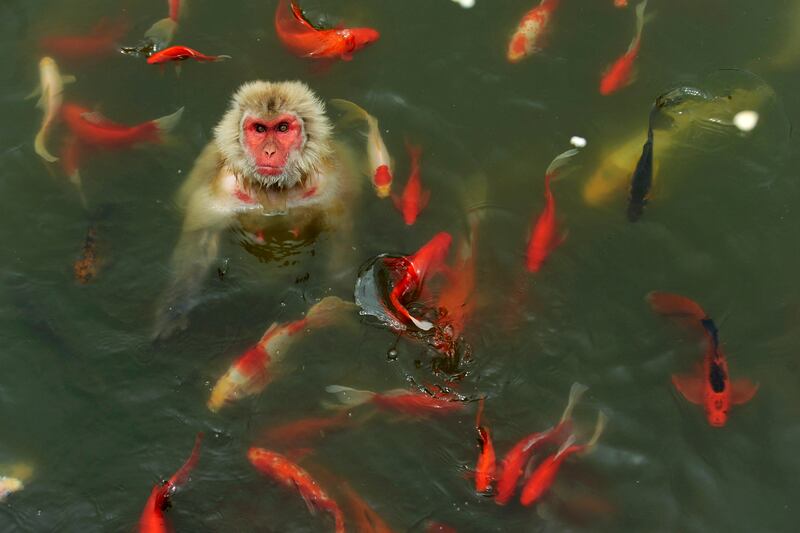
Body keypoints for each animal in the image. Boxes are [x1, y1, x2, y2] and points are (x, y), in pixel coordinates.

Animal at [153, 80, 358, 339]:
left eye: (282, 128)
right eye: (259, 129)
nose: (269, 152)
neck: (274, 190)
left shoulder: (331, 187)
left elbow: (341, 243)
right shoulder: (222, 192)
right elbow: (198, 248)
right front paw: (174, 309)